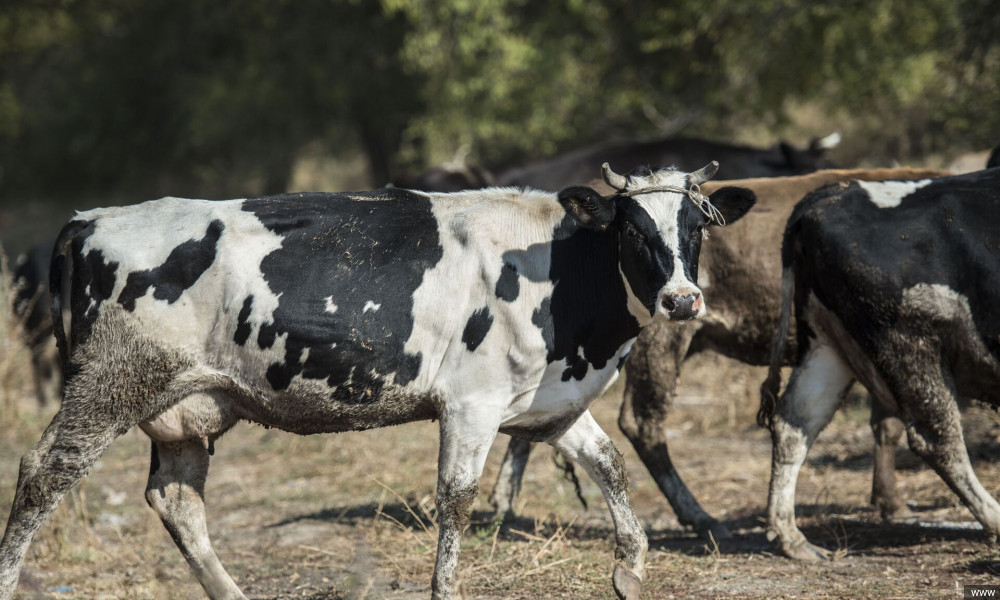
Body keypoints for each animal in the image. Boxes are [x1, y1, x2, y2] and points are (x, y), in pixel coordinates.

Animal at [0, 162, 752, 596]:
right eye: (634, 230)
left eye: (695, 227)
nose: (683, 300)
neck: (556, 270)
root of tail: (92, 219)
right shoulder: (472, 404)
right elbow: (456, 501)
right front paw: (446, 590)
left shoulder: (551, 402)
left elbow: (609, 465)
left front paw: (630, 566)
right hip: (112, 386)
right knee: (43, 472)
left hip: (186, 406)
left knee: (178, 502)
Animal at [756, 166, 1000, 560]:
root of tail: (831, 195)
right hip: (908, 340)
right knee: (937, 437)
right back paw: (995, 519)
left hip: (826, 344)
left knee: (794, 421)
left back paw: (792, 538)